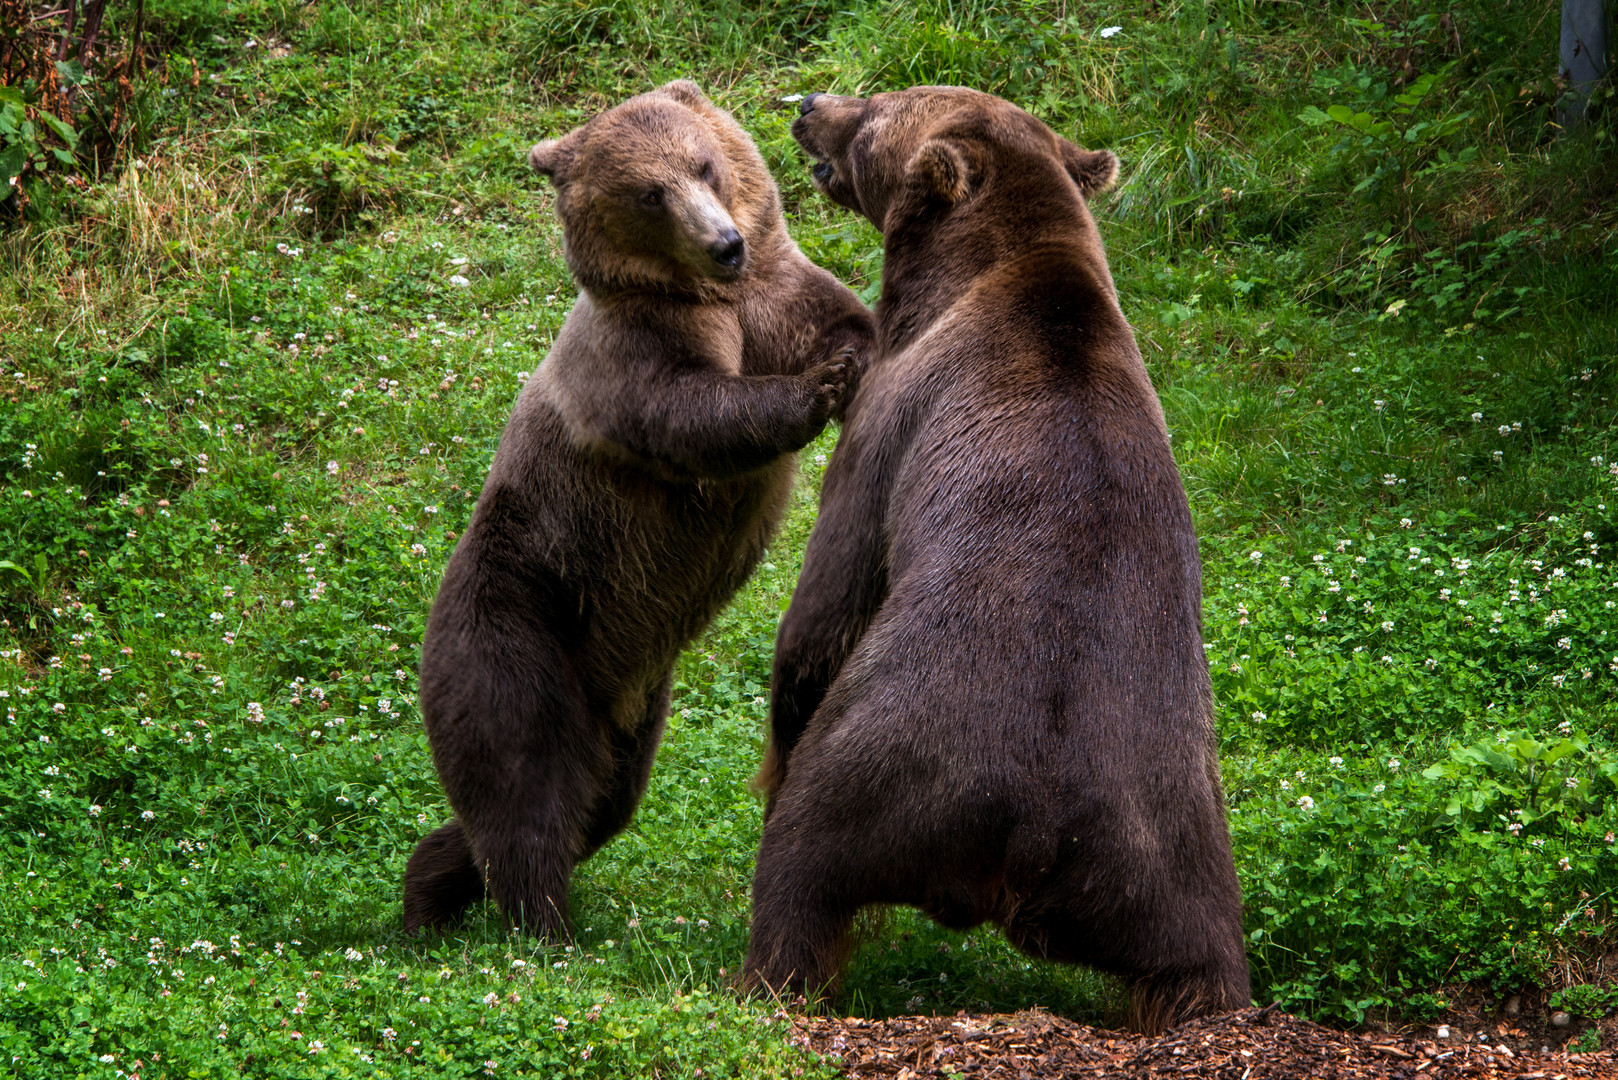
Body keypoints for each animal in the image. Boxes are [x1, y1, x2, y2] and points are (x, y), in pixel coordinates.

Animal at [404, 82, 873, 939]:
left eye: (705, 163)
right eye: (650, 193)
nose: (724, 243)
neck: (706, 294)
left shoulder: (776, 294)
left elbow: (848, 320)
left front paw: (857, 359)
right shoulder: (636, 353)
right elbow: (689, 411)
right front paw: (817, 388)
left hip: (630, 703)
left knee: (599, 803)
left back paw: (429, 891)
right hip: (525, 617)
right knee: (525, 781)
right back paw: (541, 928)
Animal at [744, 88, 1249, 1036]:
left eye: (876, 111)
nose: (810, 103)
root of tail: (1030, 831)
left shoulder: (893, 417)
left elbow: (826, 602)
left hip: (890, 751)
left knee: (803, 871)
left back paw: (768, 971)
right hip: (1167, 831)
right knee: (1198, 953)